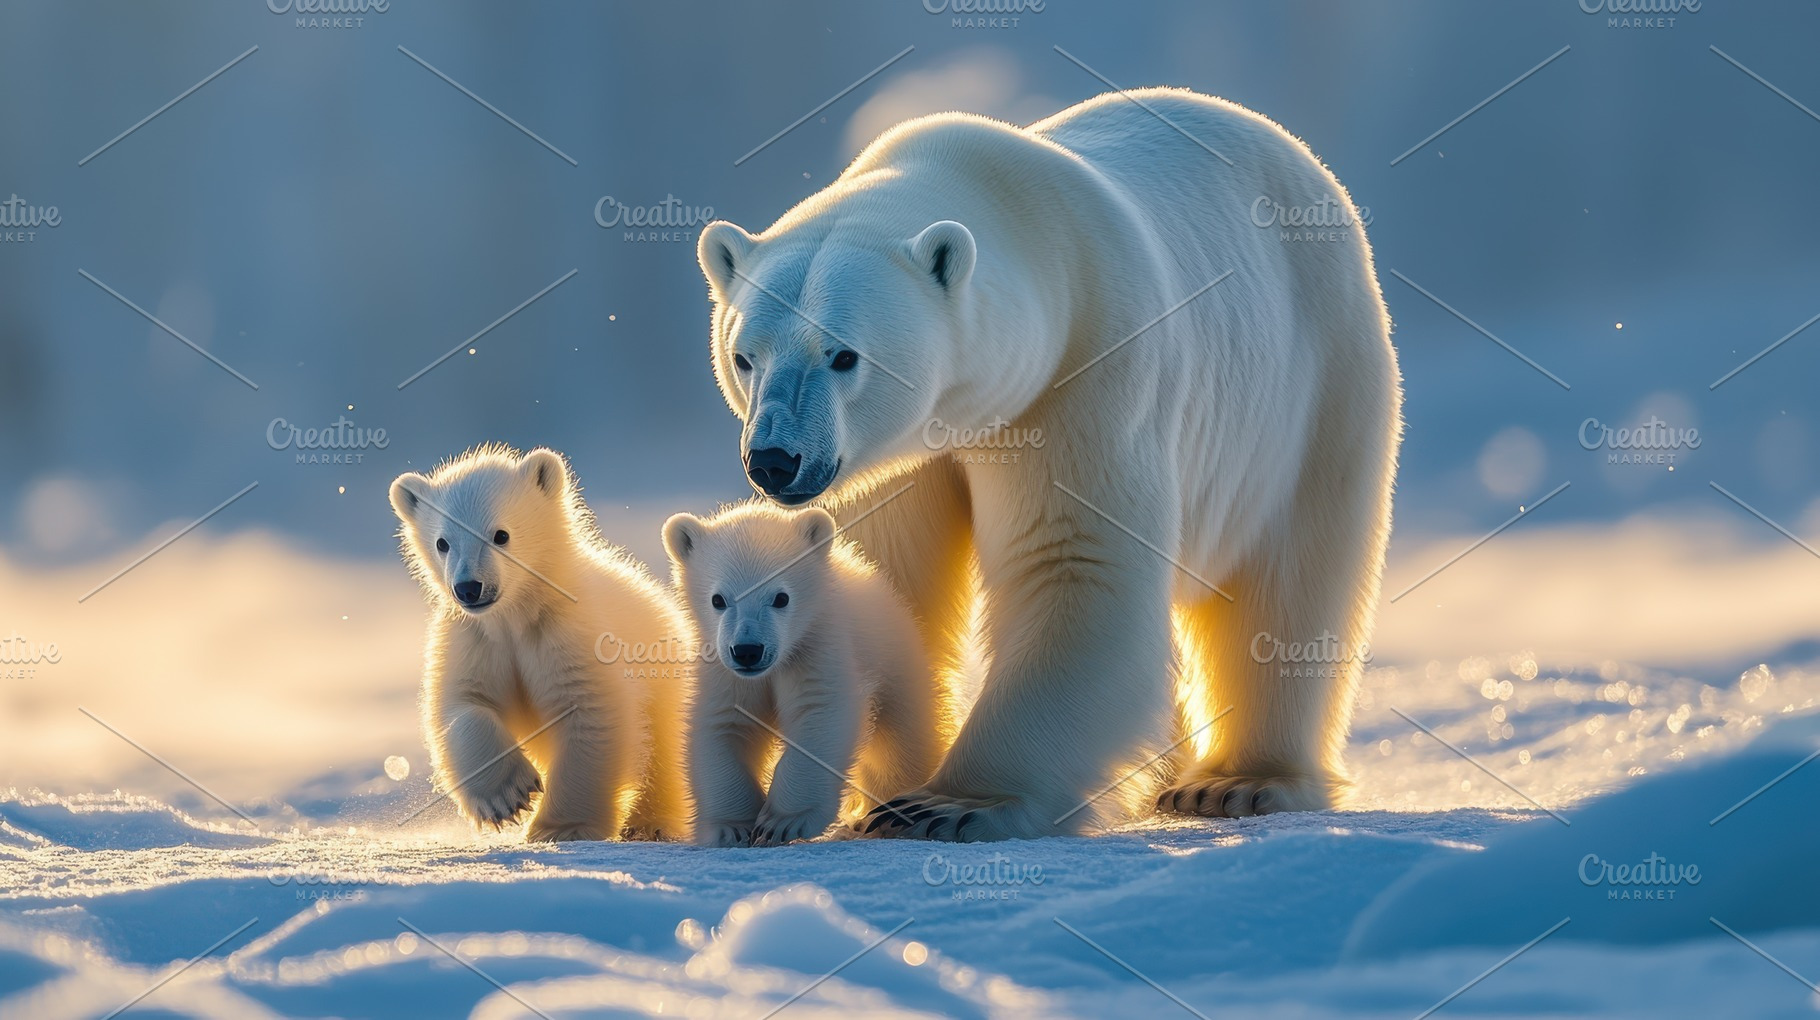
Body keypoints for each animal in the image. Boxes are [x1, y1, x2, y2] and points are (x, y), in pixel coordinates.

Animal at [389, 444, 692, 842]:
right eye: (443, 542)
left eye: (501, 535)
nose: (469, 588)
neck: (517, 615)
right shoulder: (476, 640)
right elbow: (461, 704)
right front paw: (507, 796)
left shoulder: (570, 635)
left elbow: (591, 714)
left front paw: (562, 827)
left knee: (668, 750)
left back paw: (651, 823)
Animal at [662, 502, 943, 847]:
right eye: (718, 599)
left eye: (781, 597)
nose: (748, 650)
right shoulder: (723, 671)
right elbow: (725, 724)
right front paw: (731, 827)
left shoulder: (817, 645)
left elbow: (819, 714)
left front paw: (783, 823)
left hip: (895, 661)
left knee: (903, 739)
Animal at [692, 88, 1402, 841]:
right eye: (745, 356)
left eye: (843, 355)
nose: (774, 460)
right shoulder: (899, 455)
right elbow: (885, 573)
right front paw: (876, 791)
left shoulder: (1085, 374)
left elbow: (1073, 562)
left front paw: (946, 804)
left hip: (1316, 385)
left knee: (1290, 580)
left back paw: (1236, 782)